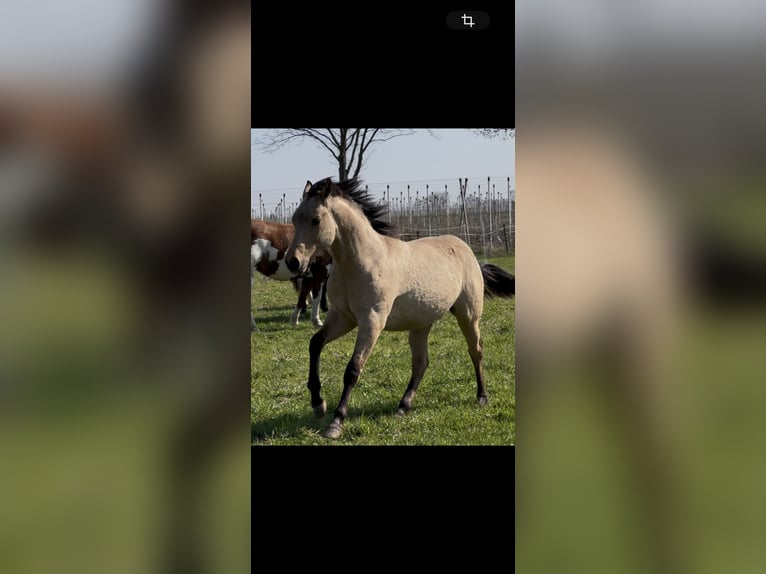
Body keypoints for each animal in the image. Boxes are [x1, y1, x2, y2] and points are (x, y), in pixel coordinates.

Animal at [285, 177, 515, 439]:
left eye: (315, 219)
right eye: (295, 218)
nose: (293, 262)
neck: (361, 262)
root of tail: (467, 250)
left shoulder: (372, 321)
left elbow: (353, 369)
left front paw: (336, 422)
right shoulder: (342, 317)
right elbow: (315, 344)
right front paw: (318, 404)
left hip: (468, 316)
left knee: (475, 351)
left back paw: (482, 397)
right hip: (421, 324)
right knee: (421, 362)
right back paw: (403, 406)